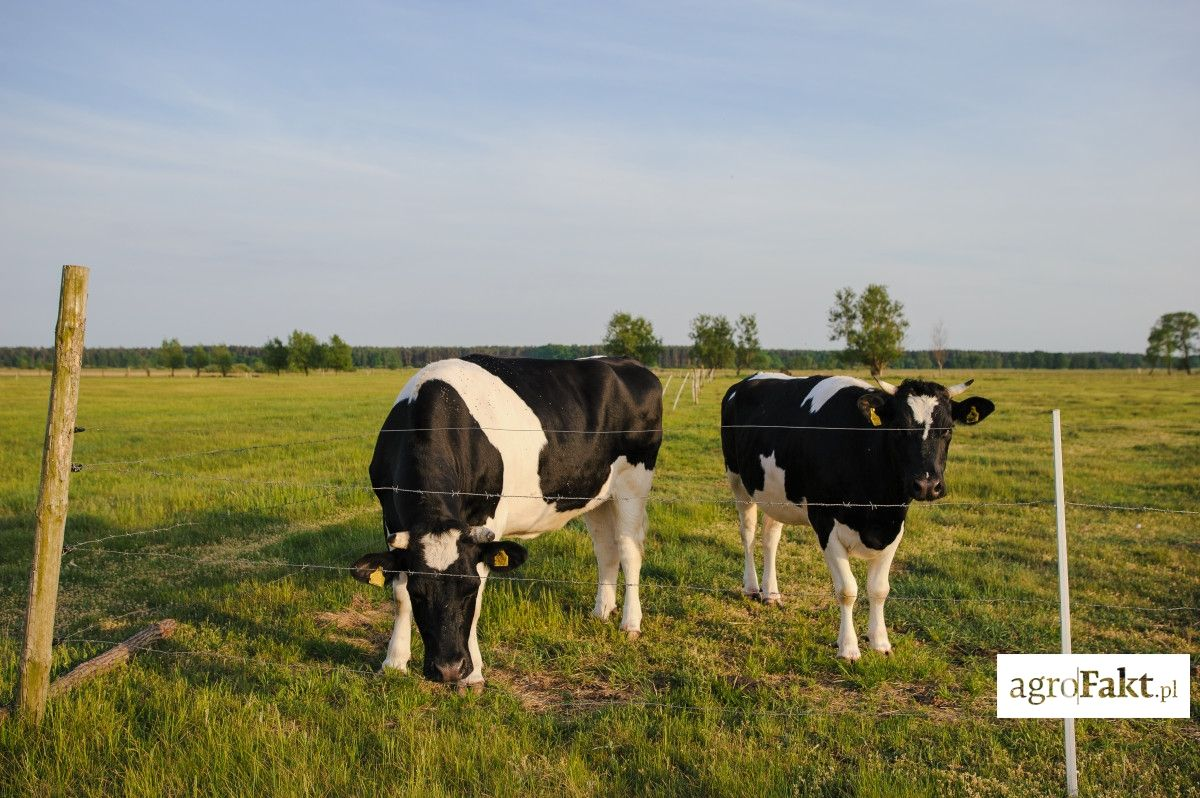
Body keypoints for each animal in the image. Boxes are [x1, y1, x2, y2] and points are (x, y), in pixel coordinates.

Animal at [350, 355, 662, 686]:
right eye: (419, 593)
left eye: (469, 590)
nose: (449, 669)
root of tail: (625, 361)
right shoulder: (392, 517)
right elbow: (399, 594)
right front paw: (394, 662)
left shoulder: (486, 520)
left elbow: (478, 600)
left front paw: (473, 675)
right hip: (596, 494)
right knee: (605, 550)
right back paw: (601, 611)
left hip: (634, 483)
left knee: (628, 551)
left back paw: (630, 623)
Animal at [720, 374, 993, 657]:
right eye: (898, 428)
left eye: (948, 429)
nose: (928, 485)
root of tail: (748, 380)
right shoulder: (825, 524)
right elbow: (847, 590)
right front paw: (848, 648)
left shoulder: (894, 527)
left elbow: (880, 589)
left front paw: (880, 642)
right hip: (737, 480)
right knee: (748, 534)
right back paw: (752, 587)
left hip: (774, 492)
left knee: (770, 538)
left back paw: (771, 593)